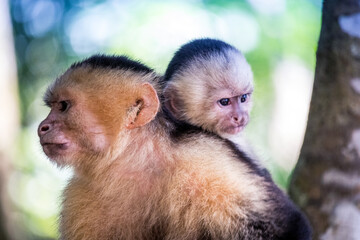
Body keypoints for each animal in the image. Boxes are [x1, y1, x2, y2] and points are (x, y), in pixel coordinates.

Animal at [38, 54, 310, 240]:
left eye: (63, 106)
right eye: (52, 107)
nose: (42, 126)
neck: (134, 162)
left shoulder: (203, 159)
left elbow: (285, 226)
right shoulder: (80, 194)